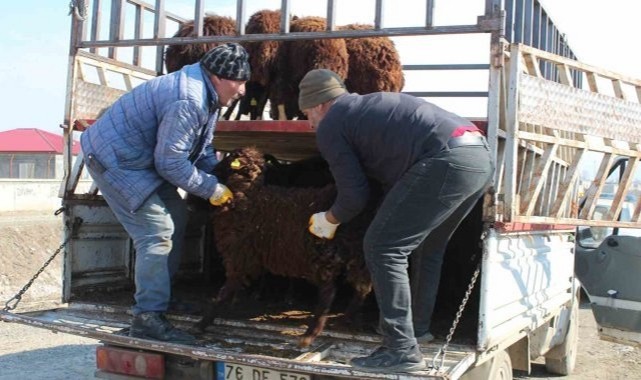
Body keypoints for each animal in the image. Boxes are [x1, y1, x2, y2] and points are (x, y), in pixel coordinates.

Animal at [195, 146, 376, 348]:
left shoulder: (239, 255)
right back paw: (349, 319)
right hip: (356, 256)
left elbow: (226, 289)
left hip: (322, 255)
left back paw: (310, 333)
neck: (247, 193)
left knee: (330, 292)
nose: (212, 170)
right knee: (362, 287)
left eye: (226, 160)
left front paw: (205, 321)